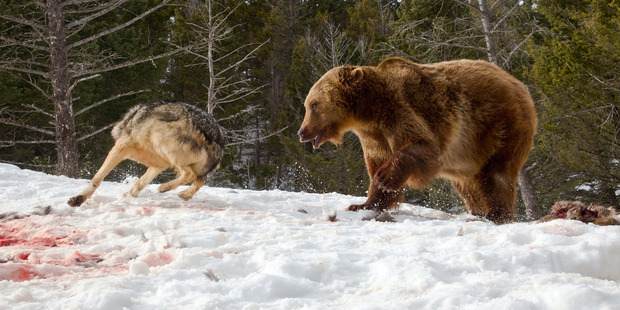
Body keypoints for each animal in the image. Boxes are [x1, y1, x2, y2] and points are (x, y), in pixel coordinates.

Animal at [298, 57, 536, 223]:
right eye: (308, 104)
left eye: (314, 104)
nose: (302, 131)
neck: (370, 110)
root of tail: (519, 85)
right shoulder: (373, 136)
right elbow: (377, 166)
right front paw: (362, 203)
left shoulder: (399, 110)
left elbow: (423, 145)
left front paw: (386, 176)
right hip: (470, 152)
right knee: (469, 182)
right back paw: (479, 211)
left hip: (498, 127)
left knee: (496, 174)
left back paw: (496, 214)